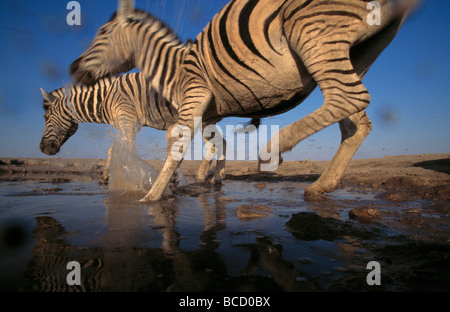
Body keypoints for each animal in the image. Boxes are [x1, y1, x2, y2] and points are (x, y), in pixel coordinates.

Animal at [40, 72, 225, 188]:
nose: (42, 149)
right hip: (205, 120)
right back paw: (217, 176)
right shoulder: (128, 123)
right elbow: (113, 150)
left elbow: (125, 150)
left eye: (46, 117)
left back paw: (204, 176)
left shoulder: (127, 118)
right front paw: (104, 177)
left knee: (215, 144)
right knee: (220, 142)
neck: (104, 99)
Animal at [70, 0, 418, 201]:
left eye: (101, 34)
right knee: (356, 120)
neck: (172, 66)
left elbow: (178, 148)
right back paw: (323, 185)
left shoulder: (195, 96)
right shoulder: (207, 114)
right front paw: (205, 179)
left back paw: (274, 148)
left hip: (312, 30)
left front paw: (151, 198)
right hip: (360, 51)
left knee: (349, 98)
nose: (73, 68)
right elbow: (208, 146)